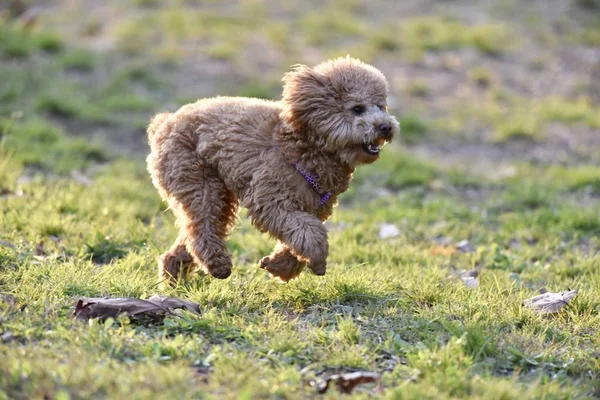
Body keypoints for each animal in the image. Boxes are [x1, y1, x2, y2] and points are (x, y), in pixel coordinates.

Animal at [146, 57, 398, 286]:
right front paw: (316, 262)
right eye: (357, 109)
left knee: (194, 232)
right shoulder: (271, 199)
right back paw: (217, 266)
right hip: (197, 179)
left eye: (381, 106)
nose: (386, 126)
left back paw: (174, 275)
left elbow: (301, 235)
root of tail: (163, 124)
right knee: (203, 228)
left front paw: (279, 267)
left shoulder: (315, 206)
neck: (304, 145)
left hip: (215, 192)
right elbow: (311, 234)